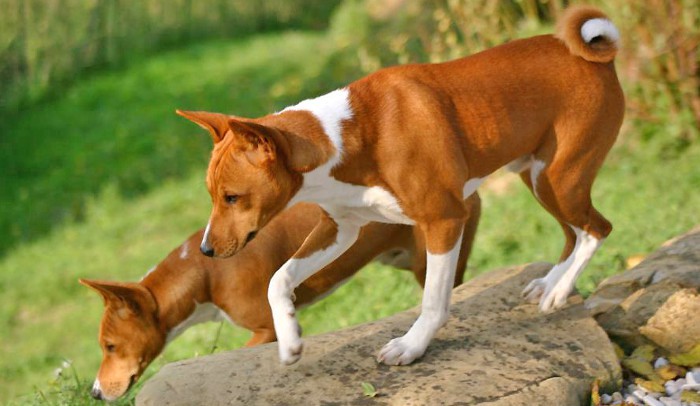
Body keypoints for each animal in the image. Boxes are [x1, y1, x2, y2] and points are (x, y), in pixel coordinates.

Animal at [178, 6, 628, 366]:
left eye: (232, 197)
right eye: (213, 197)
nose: (207, 251)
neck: (348, 138)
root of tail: (596, 59)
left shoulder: (445, 219)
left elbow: (433, 301)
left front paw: (412, 346)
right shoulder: (340, 229)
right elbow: (279, 279)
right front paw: (290, 340)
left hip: (559, 178)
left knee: (597, 230)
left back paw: (560, 289)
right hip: (538, 177)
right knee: (574, 233)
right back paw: (551, 283)